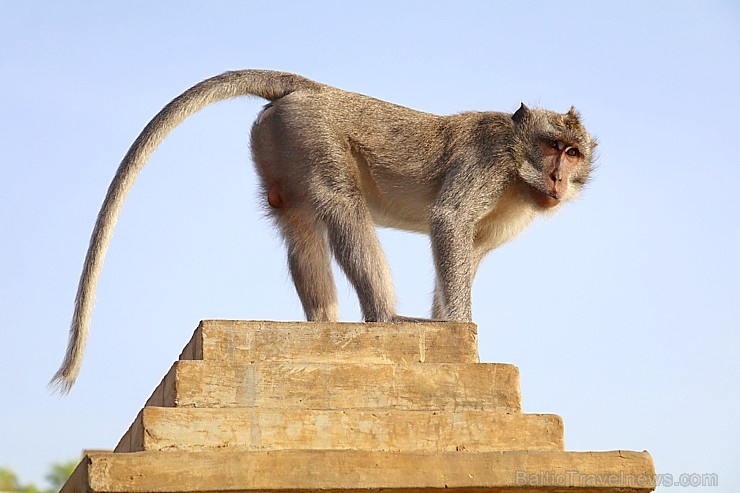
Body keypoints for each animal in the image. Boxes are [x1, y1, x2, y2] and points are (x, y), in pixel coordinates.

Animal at [50, 68, 596, 392]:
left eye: (574, 153)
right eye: (552, 147)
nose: (558, 179)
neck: (516, 166)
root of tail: (316, 90)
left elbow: (468, 252)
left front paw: (447, 323)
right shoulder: (485, 163)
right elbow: (450, 222)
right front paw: (460, 329)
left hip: (279, 140)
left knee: (300, 227)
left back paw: (325, 324)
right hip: (312, 132)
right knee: (343, 206)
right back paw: (384, 318)